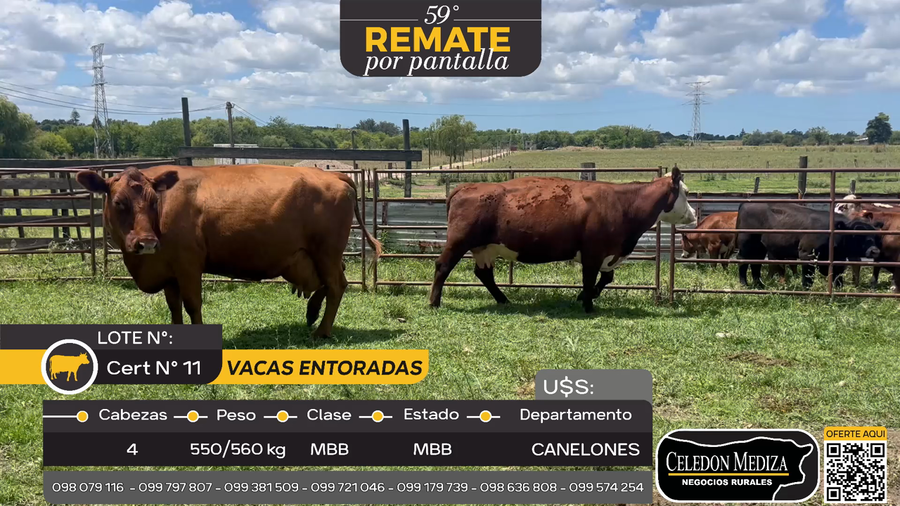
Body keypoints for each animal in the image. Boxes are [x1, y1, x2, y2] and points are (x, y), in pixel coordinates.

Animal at [76, 164, 381, 338]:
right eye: (119, 201)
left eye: (153, 201)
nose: (146, 242)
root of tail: (334, 175)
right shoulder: (169, 271)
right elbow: (174, 307)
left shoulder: (188, 265)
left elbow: (192, 304)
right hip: (318, 256)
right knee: (331, 283)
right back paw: (311, 312)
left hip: (326, 252)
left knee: (337, 285)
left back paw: (322, 330)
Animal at [428, 168, 697, 312]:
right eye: (685, 192)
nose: (694, 213)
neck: (623, 203)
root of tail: (466, 186)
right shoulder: (593, 252)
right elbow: (589, 279)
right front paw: (587, 304)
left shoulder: (607, 254)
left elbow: (606, 278)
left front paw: (586, 297)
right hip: (459, 241)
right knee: (442, 266)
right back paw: (434, 302)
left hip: (484, 248)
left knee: (484, 274)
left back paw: (504, 299)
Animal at [735, 202, 882, 290]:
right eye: (856, 235)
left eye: (874, 235)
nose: (874, 251)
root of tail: (747, 204)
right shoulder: (807, 254)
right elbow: (808, 277)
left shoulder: (838, 259)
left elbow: (837, 277)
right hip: (747, 244)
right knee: (742, 261)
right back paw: (744, 284)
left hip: (759, 248)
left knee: (756, 264)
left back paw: (759, 285)